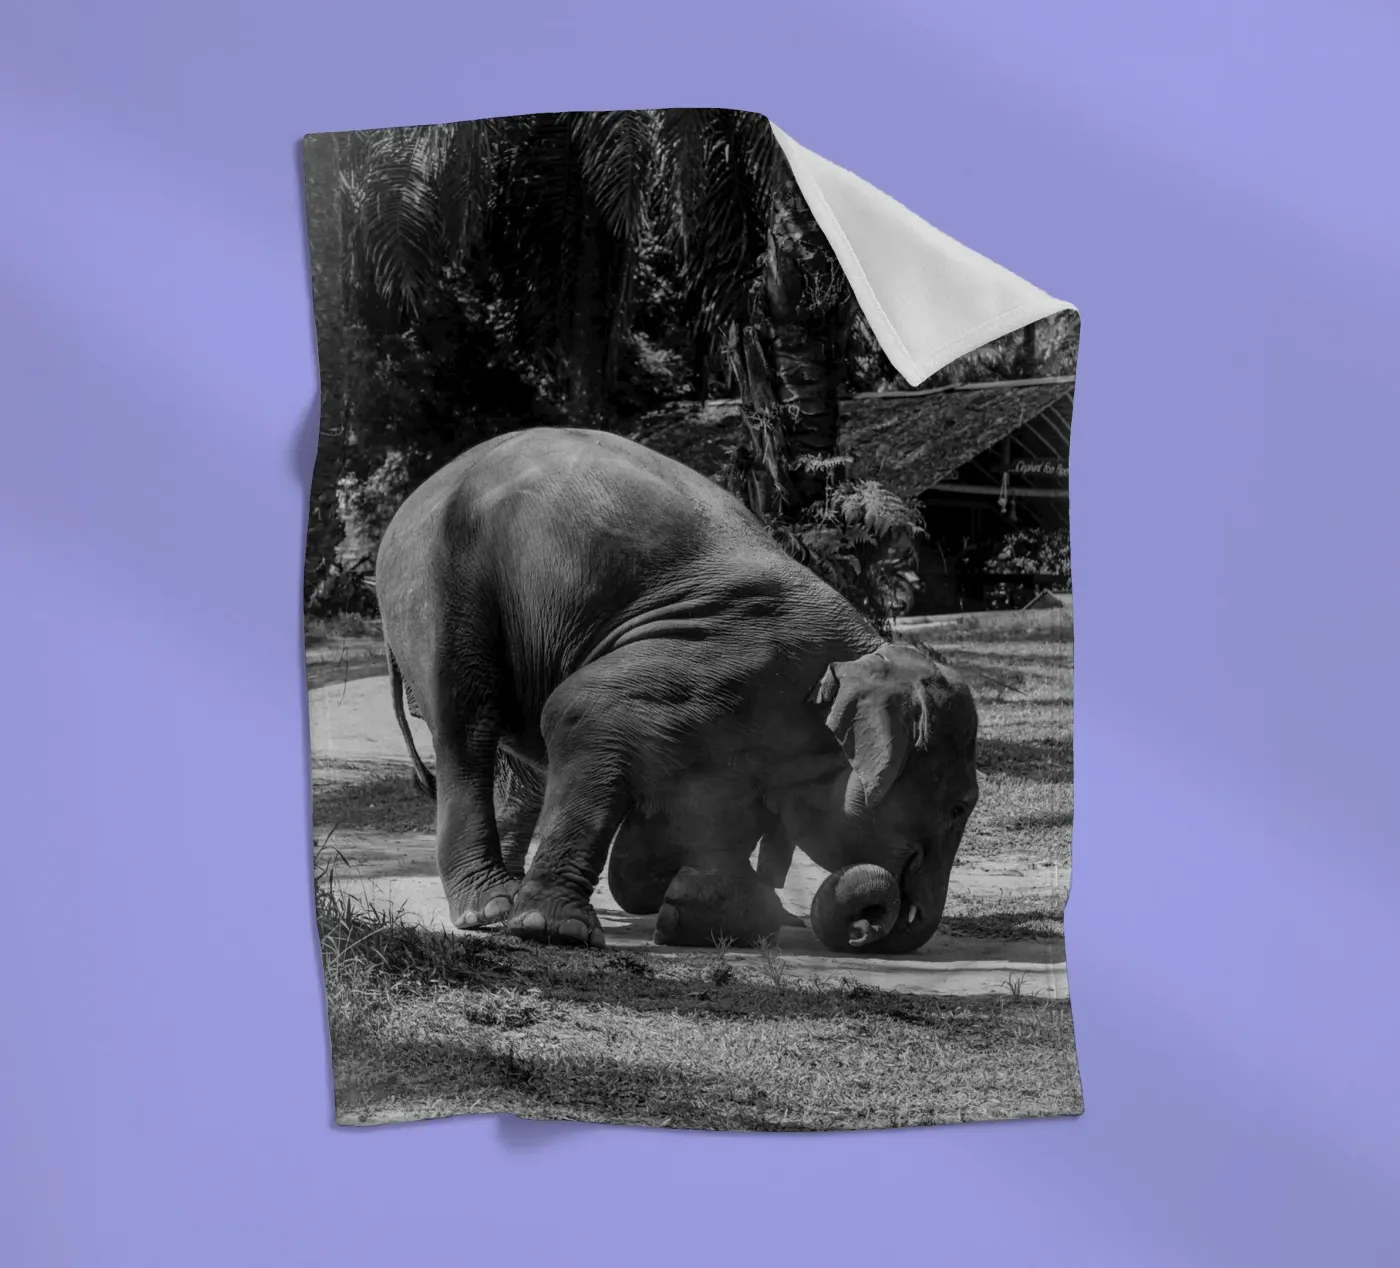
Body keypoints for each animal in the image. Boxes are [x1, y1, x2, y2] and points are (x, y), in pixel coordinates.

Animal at [374, 426, 979, 955]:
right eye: (958, 808)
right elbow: (577, 710)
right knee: (467, 726)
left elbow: (698, 812)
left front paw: (694, 904)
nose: (870, 925)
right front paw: (558, 930)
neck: (861, 653)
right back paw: (491, 909)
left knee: (519, 770)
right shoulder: (724, 660)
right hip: (438, 589)